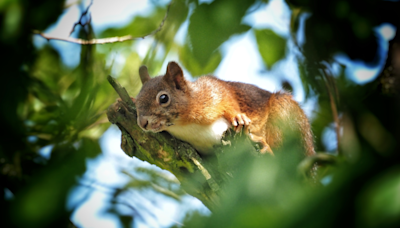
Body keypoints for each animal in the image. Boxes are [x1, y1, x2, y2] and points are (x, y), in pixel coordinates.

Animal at [134, 61, 316, 157]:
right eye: (136, 102)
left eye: (163, 98)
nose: (142, 123)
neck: (183, 126)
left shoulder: (213, 91)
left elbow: (228, 99)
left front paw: (238, 117)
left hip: (285, 115)